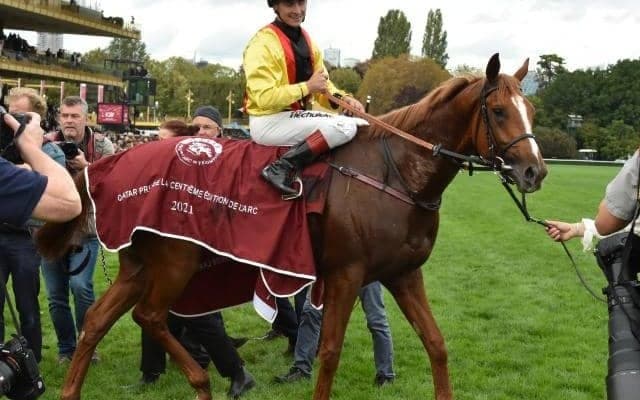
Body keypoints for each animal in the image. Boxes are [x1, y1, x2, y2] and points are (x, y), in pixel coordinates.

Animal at [36, 53, 547, 400]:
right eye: (499, 111)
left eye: (533, 112)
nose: (534, 172)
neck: (395, 172)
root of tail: (107, 164)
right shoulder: (345, 275)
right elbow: (329, 352)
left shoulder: (403, 274)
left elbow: (437, 345)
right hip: (176, 259)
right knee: (151, 316)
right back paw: (201, 381)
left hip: (140, 264)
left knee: (97, 320)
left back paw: (74, 390)